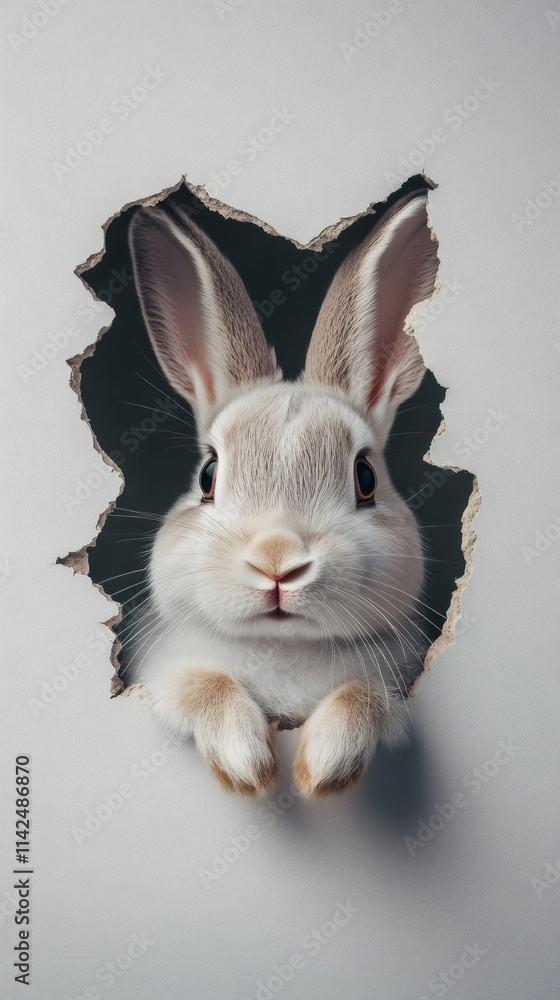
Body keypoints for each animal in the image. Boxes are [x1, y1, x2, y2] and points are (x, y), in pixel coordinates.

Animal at [127, 190, 439, 798]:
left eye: (365, 478)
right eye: (207, 476)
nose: (277, 562)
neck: (285, 645)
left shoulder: (393, 689)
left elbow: (360, 699)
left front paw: (323, 770)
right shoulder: (165, 675)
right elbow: (206, 685)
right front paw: (249, 767)